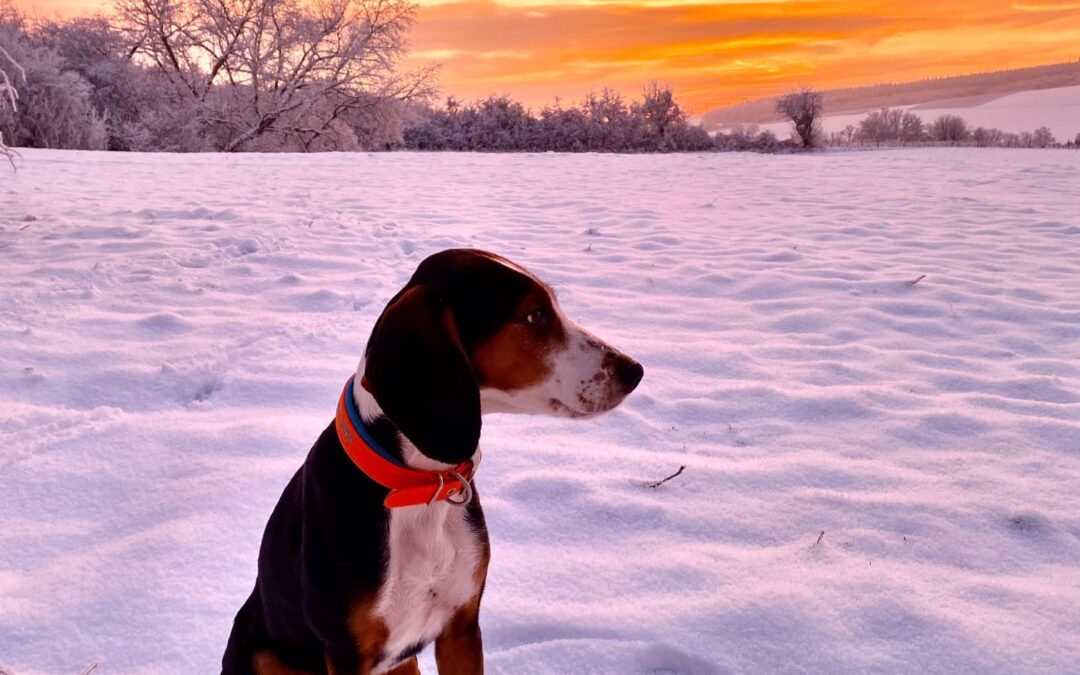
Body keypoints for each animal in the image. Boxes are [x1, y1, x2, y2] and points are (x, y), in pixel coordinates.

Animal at [220, 247, 639, 673]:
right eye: (535, 316)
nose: (633, 370)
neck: (420, 487)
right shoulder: (346, 650)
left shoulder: (462, 625)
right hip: (262, 652)